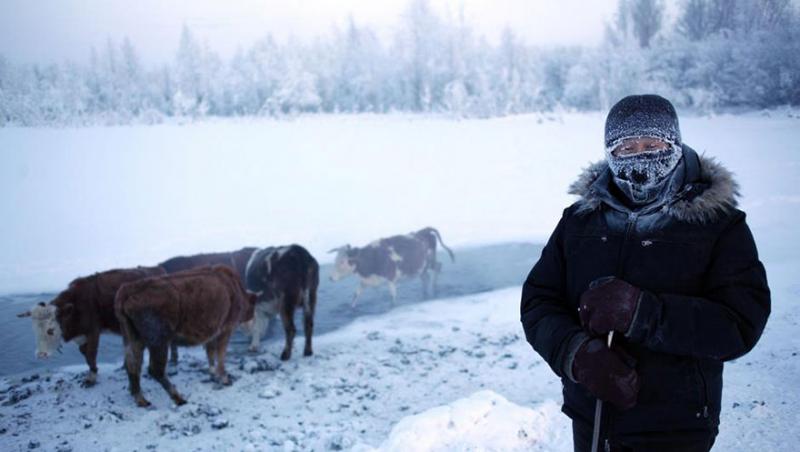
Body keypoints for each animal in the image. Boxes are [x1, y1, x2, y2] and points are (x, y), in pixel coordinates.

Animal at [17, 266, 168, 386]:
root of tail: (158, 269)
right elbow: (84, 353)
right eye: (35, 329)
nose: (41, 354)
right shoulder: (81, 335)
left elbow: (90, 354)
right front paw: (92, 371)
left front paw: (91, 378)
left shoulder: (93, 331)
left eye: (51, 330)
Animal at [112, 264, 255, 408]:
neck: (234, 287)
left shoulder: (212, 335)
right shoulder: (225, 330)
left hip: (133, 339)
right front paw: (224, 378)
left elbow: (210, 354)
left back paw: (140, 399)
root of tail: (127, 290)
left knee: (132, 364)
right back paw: (178, 398)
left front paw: (213, 374)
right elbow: (220, 356)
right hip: (159, 342)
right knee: (155, 370)